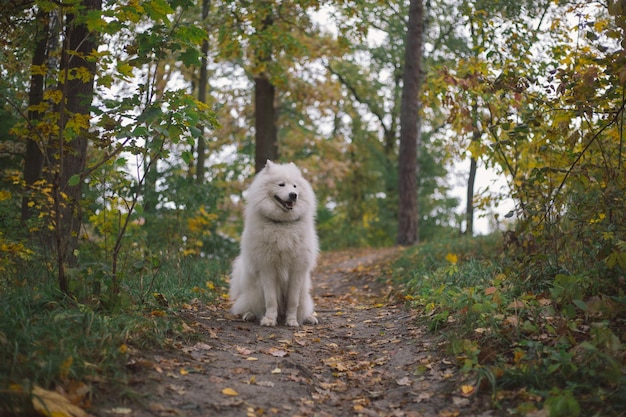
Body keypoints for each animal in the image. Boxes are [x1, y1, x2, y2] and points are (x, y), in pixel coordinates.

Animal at [228, 159, 316, 324]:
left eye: (295, 186)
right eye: (281, 184)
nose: (293, 195)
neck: (283, 224)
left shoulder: (297, 270)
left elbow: (293, 301)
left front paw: (292, 321)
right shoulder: (267, 268)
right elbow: (270, 299)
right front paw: (269, 320)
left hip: (304, 294)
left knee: (302, 307)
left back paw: (308, 318)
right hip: (255, 293)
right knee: (250, 307)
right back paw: (249, 315)